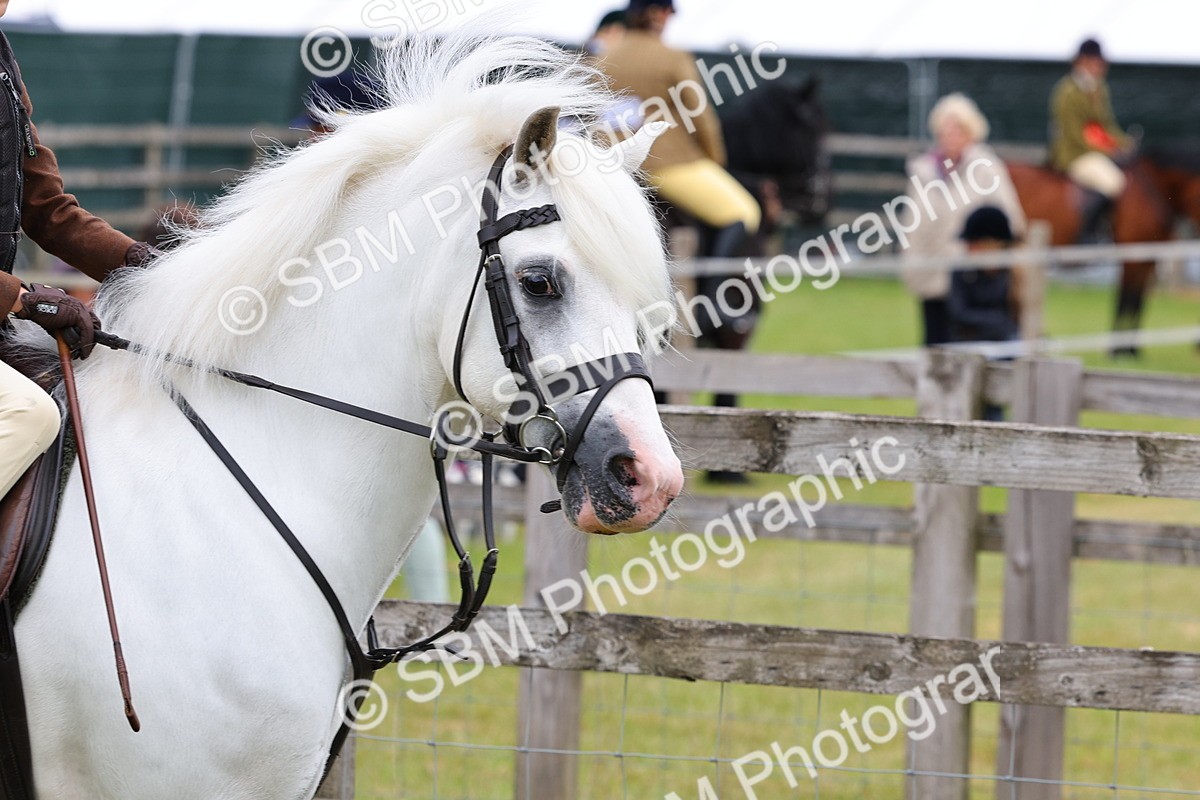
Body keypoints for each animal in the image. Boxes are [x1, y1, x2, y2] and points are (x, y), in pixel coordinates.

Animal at [1008, 148, 1200, 353]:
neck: (1155, 187)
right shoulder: (1132, 255)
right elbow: (1126, 298)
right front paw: (1118, 350)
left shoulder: (1148, 256)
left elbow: (1138, 300)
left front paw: (1132, 349)